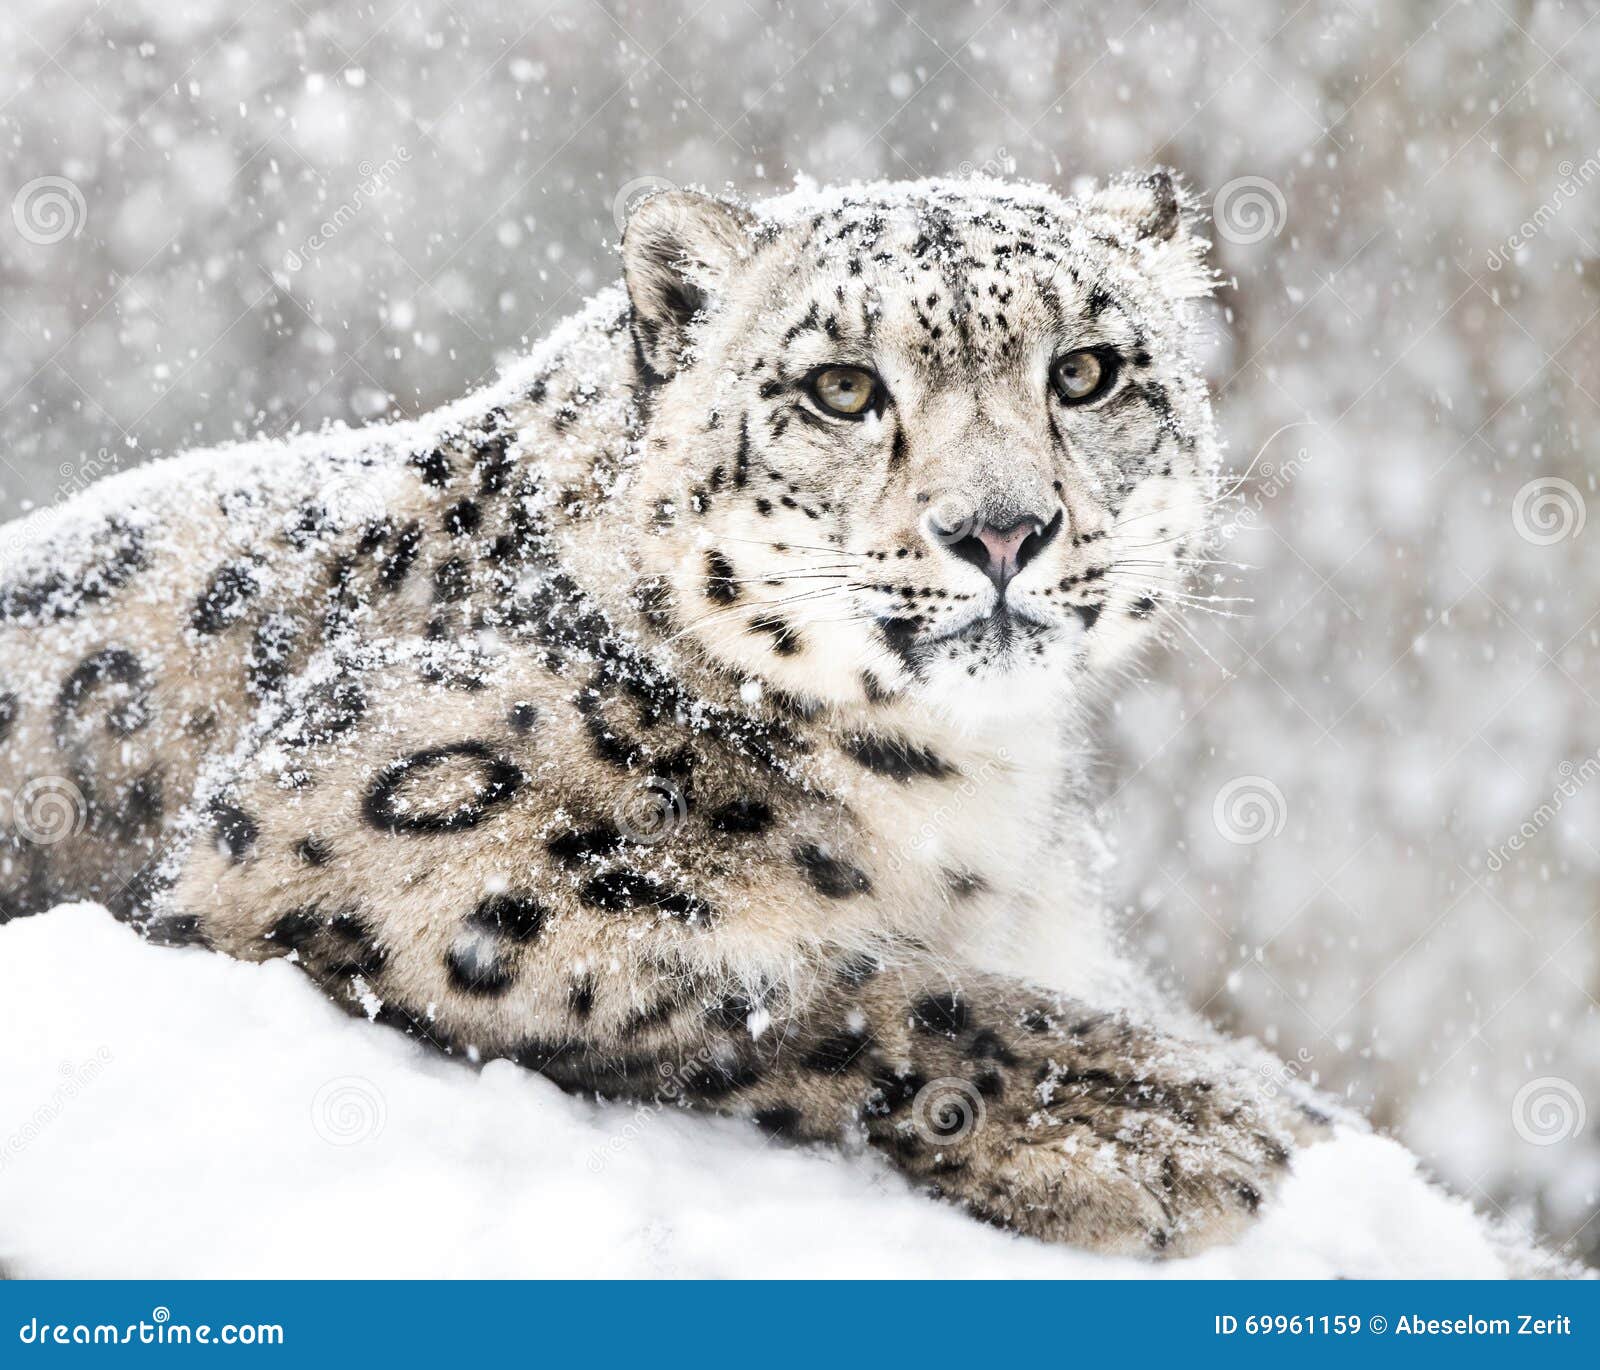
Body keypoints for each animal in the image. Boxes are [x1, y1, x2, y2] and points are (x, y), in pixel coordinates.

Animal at [0, 171, 1327, 1257]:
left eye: (1086, 370)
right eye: (843, 386)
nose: (1001, 528)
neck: (971, 778)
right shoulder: (360, 834)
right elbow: (795, 982)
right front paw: (1163, 1119)